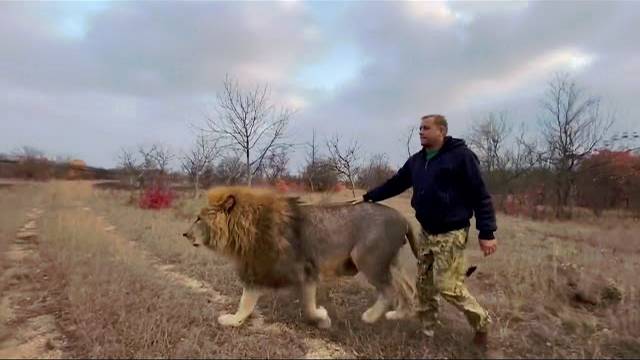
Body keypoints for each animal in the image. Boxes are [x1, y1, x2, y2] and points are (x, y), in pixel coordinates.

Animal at [182, 186, 418, 330]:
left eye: (199, 218)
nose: (184, 234)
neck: (247, 230)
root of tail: (403, 218)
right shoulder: (258, 271)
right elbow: (245, 303)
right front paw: (232, 320)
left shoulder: (305, 270)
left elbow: (308, 308)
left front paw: (323, 318)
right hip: (392, 263)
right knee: (407, 289)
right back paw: (398, 315)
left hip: (367, 258)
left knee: (390, 290)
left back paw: (370, 316)